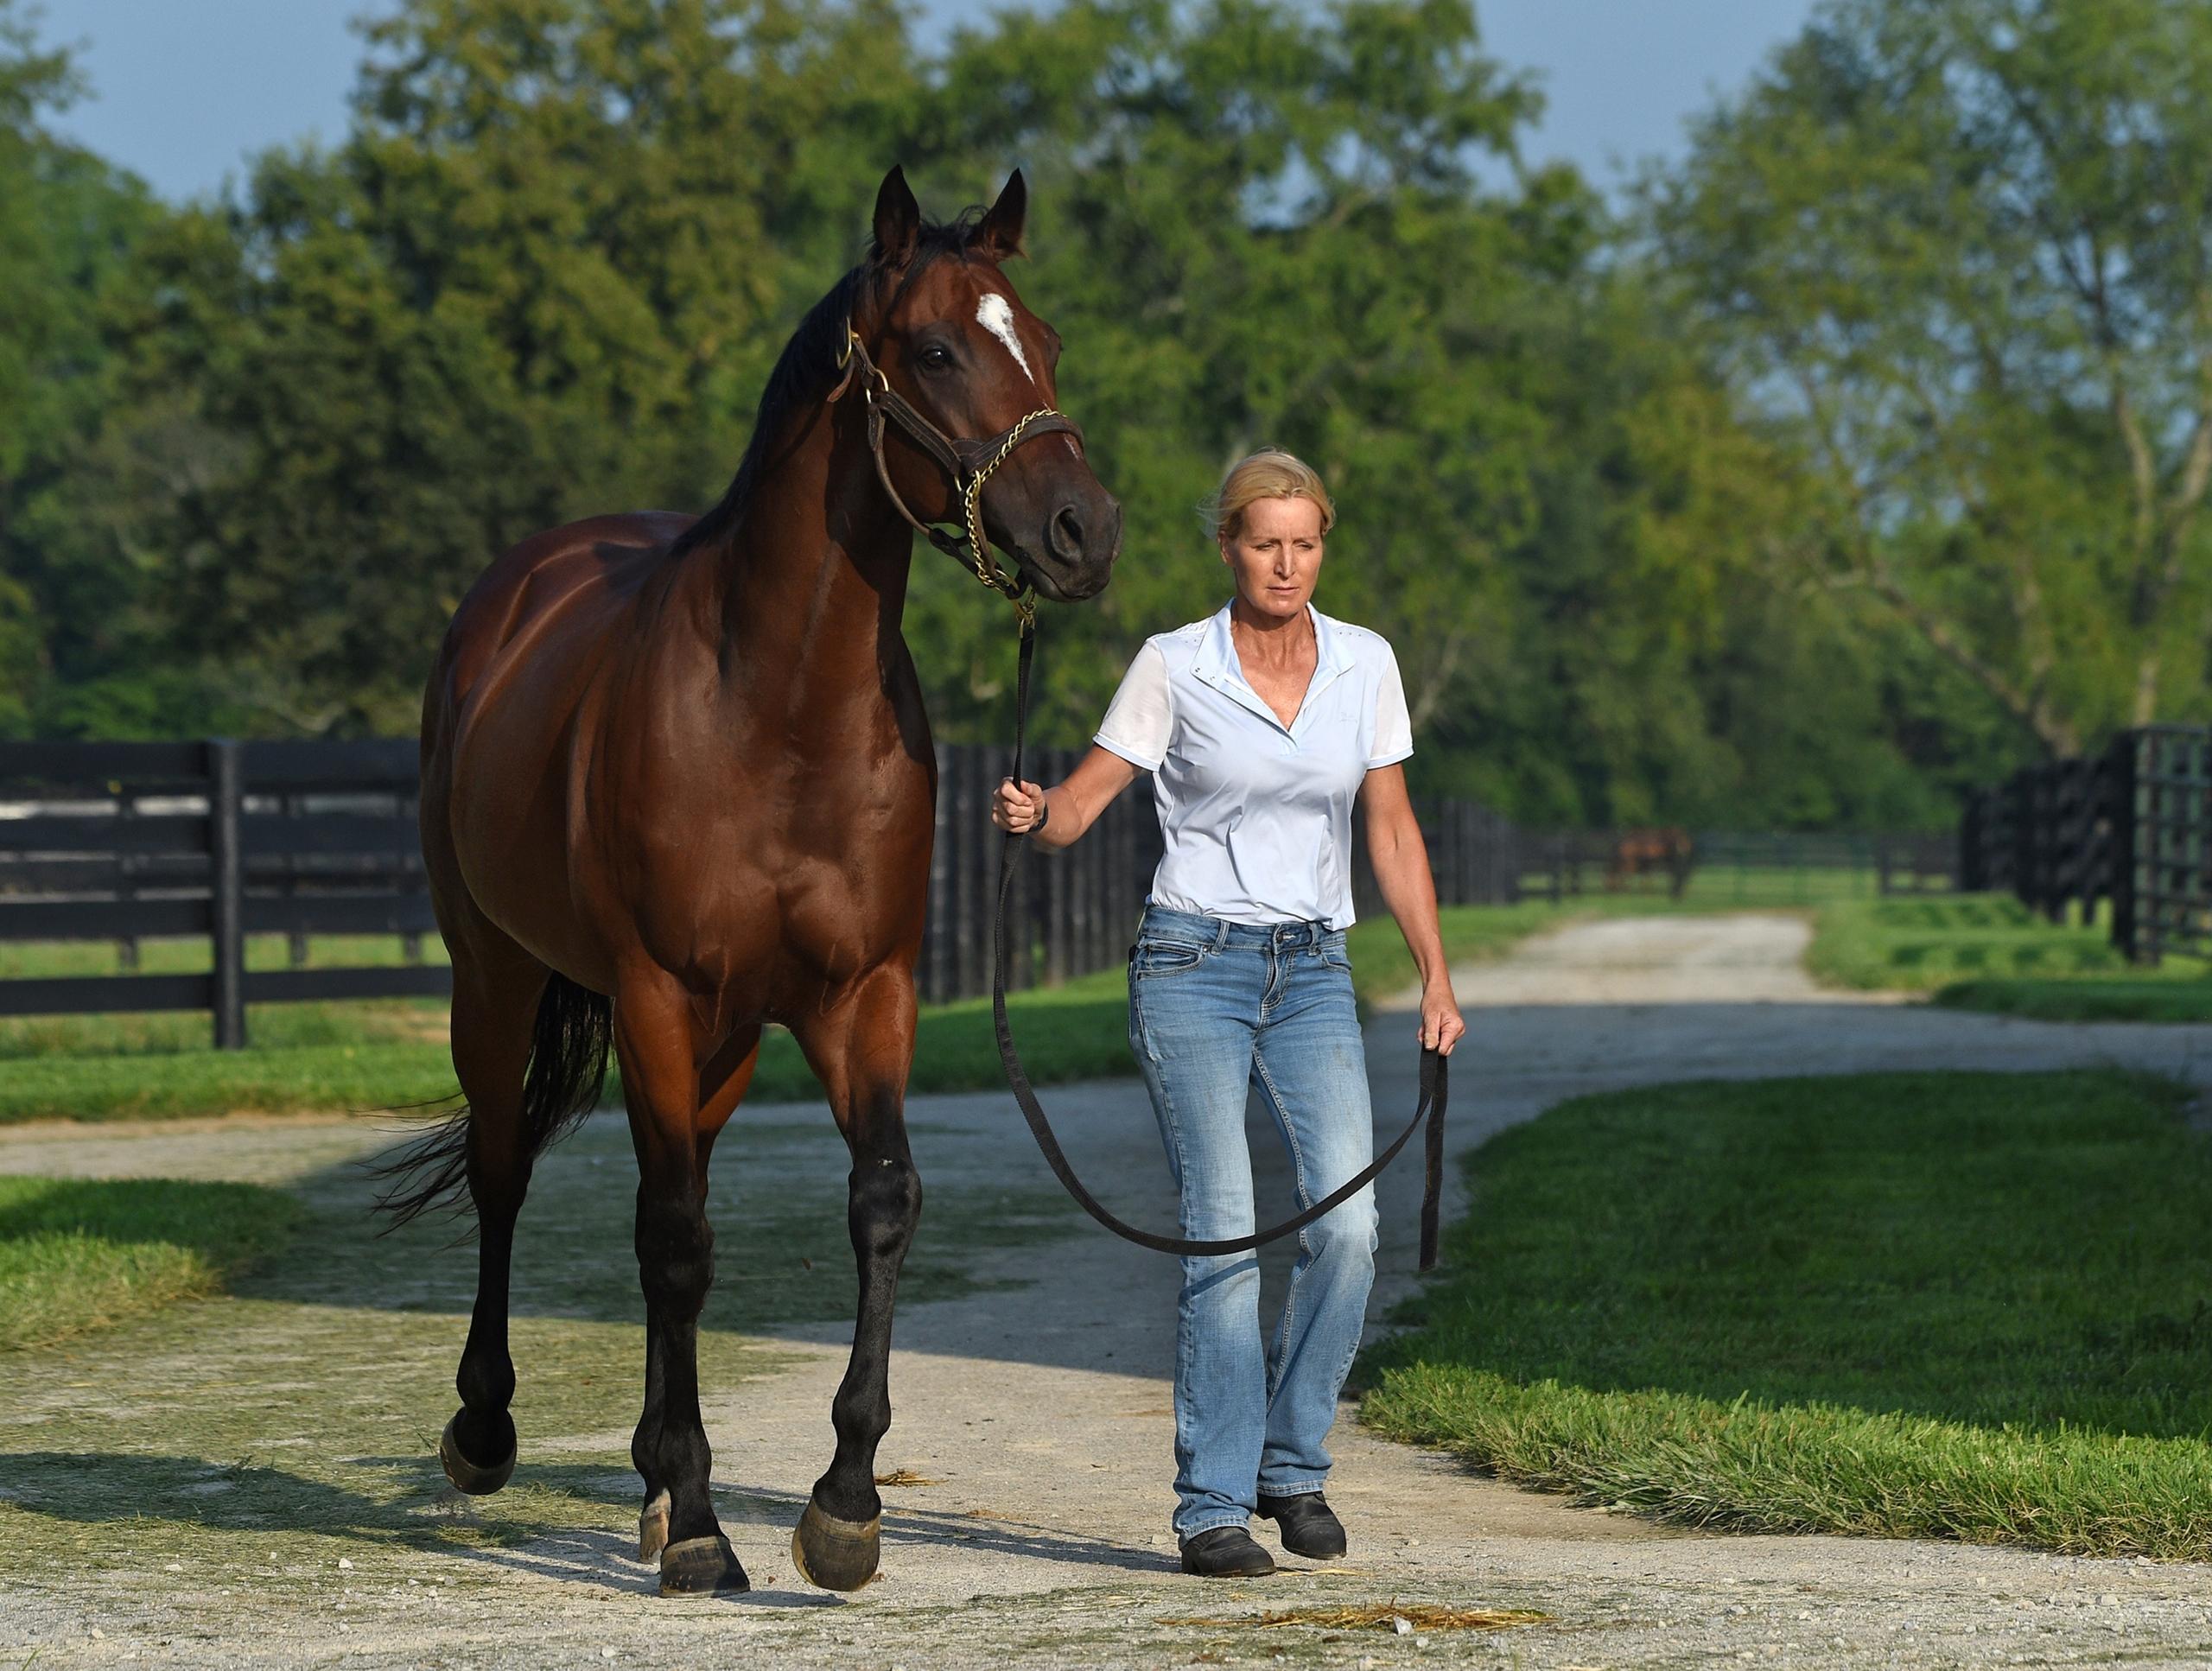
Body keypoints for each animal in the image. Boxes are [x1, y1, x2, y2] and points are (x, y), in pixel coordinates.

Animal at [378, 165, 1121, 1596]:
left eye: (1048, 341)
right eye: (935, 350)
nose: (1084, 531)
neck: (777, 710)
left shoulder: (862, 995)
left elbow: (878, 1202)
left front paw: (840, 1506)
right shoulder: (656, 993)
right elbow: (672, 1240)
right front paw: (708, 1529)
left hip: (717, 1040)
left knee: (673, 1201)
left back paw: (655, 1477)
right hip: (499, 978)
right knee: (511, 1170)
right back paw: (492, 1431)